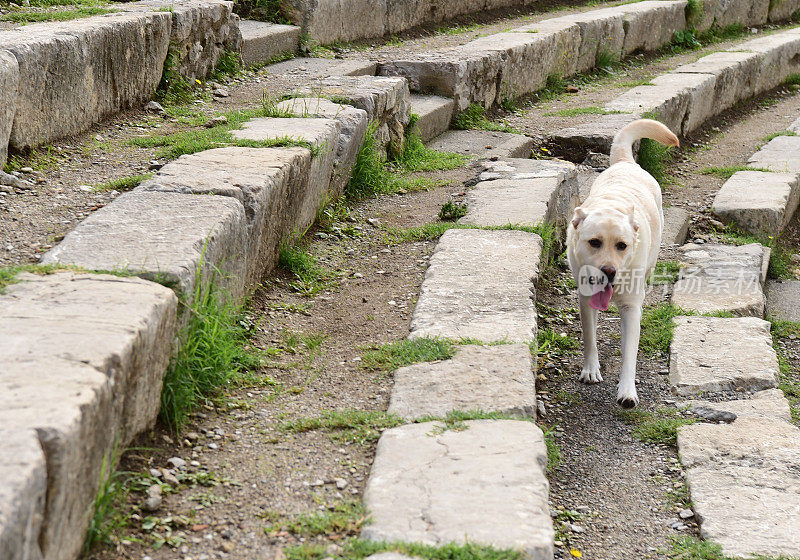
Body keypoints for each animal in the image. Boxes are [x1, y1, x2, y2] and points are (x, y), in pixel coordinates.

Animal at [564, 119, 680, 406]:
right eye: (594, 242)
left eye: (622, 245)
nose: (609, 271)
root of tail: (626, 162)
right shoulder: (585, 297)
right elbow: (589, 336)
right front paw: (591, 369)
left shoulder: (630, 307)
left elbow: (630, 353)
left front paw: (627, 391)